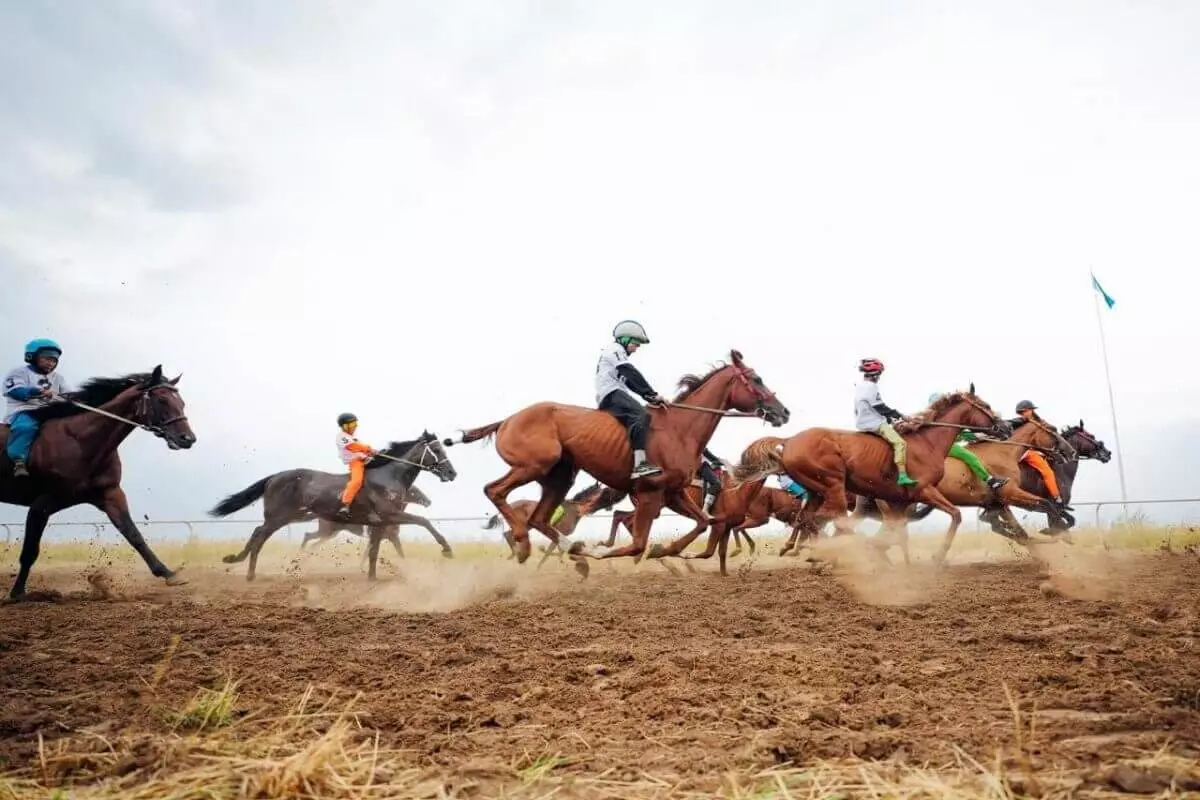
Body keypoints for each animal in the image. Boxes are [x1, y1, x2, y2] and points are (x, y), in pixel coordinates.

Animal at [0, 367, 196, 597]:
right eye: (162, 399)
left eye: (181, 402)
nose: (188, 438)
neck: (80, 441)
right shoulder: (42, 503)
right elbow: (30, 550)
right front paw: (17, 592)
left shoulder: (110, 495)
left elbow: (134, 535)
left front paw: (169, 574)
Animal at [300, 484, 451, 561]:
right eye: (414, 490)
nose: (428, 501)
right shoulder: (386, 536)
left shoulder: (390, 537)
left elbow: (399, 553)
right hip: (327, 531)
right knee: (308, 536)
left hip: (330, 533)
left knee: (312, 541)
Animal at [446, 350, 792, 575]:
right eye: (756, 379)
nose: (783, 411)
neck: (680, 428)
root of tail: (507, 420)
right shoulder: (651, 494)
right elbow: (638, 544)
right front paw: (609, 550)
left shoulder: (673, 494)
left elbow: (703, 522)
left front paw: (666, 550)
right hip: (533, 465)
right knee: (495, 491)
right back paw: (525, 543)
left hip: (559, 476)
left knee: (540, 518)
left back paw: (574, 551)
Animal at [734, 383, 1008, 566]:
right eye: (985, 405)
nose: (1005, 427)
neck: (926, 443)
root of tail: (789, 440)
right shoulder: (923, 490)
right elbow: (955, 515)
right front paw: (937, 556)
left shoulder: (899, 502)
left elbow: (895, 534)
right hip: (833, 487)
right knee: (829, 522)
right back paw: (826, 553)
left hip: (816, 491)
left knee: (807, 519)